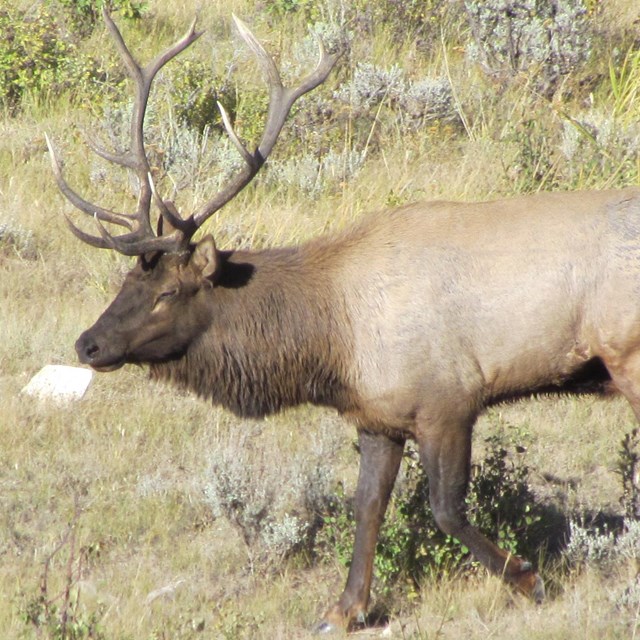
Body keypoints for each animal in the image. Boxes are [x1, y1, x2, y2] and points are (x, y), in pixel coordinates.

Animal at [47, 7, 640, 636]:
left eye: (167, 292)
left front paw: (528, 578)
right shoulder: (378, 415)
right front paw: (344, 607)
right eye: (125, 281)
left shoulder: (449, 398)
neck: (331, 341)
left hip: (627, 355)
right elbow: (368, 505)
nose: (88, 344)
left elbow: (445, 510)